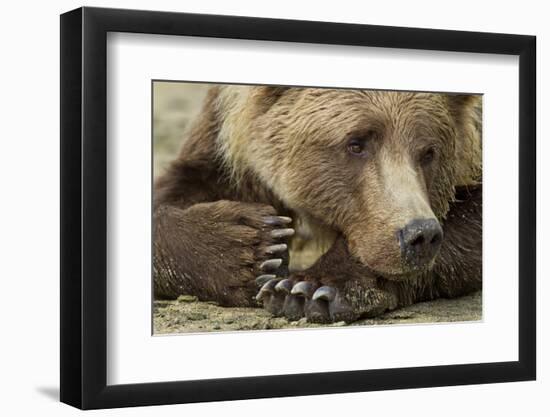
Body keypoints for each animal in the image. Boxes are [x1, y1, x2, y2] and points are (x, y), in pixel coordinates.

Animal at [154, 85, 484, 322]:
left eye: (429, 152)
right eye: (355, 143)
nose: (420, 235)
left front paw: (309, 289)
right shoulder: (222, 138)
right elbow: (180, 187)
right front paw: (252, 245)